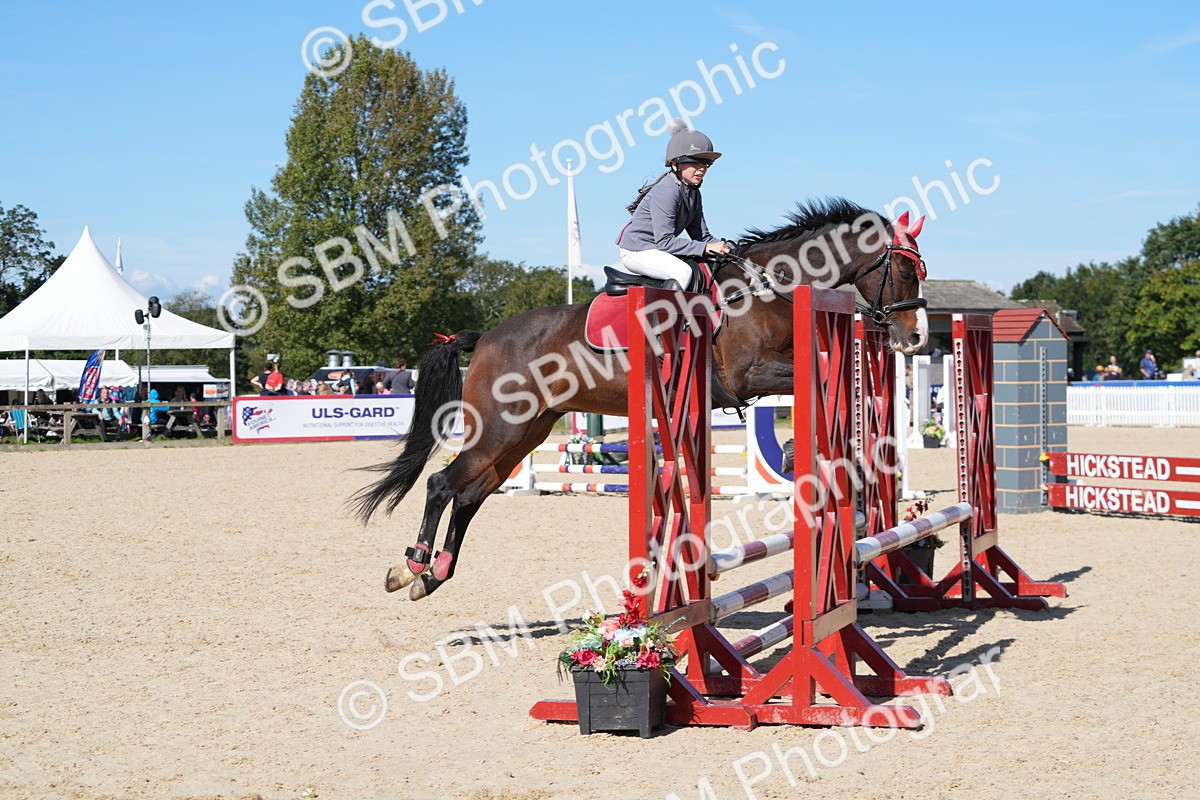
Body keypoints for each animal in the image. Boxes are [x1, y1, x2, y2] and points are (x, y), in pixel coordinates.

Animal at [352, 197, 930, 600]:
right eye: (904, 271)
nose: (916, 339)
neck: (768, 289)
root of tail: (484, 337)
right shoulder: (750, 374)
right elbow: (810, 382)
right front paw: (790, 456)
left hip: (527, 431)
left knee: (470, 495)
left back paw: (433, 575)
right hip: (499, 428)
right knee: (442, 484)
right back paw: (412, 566)